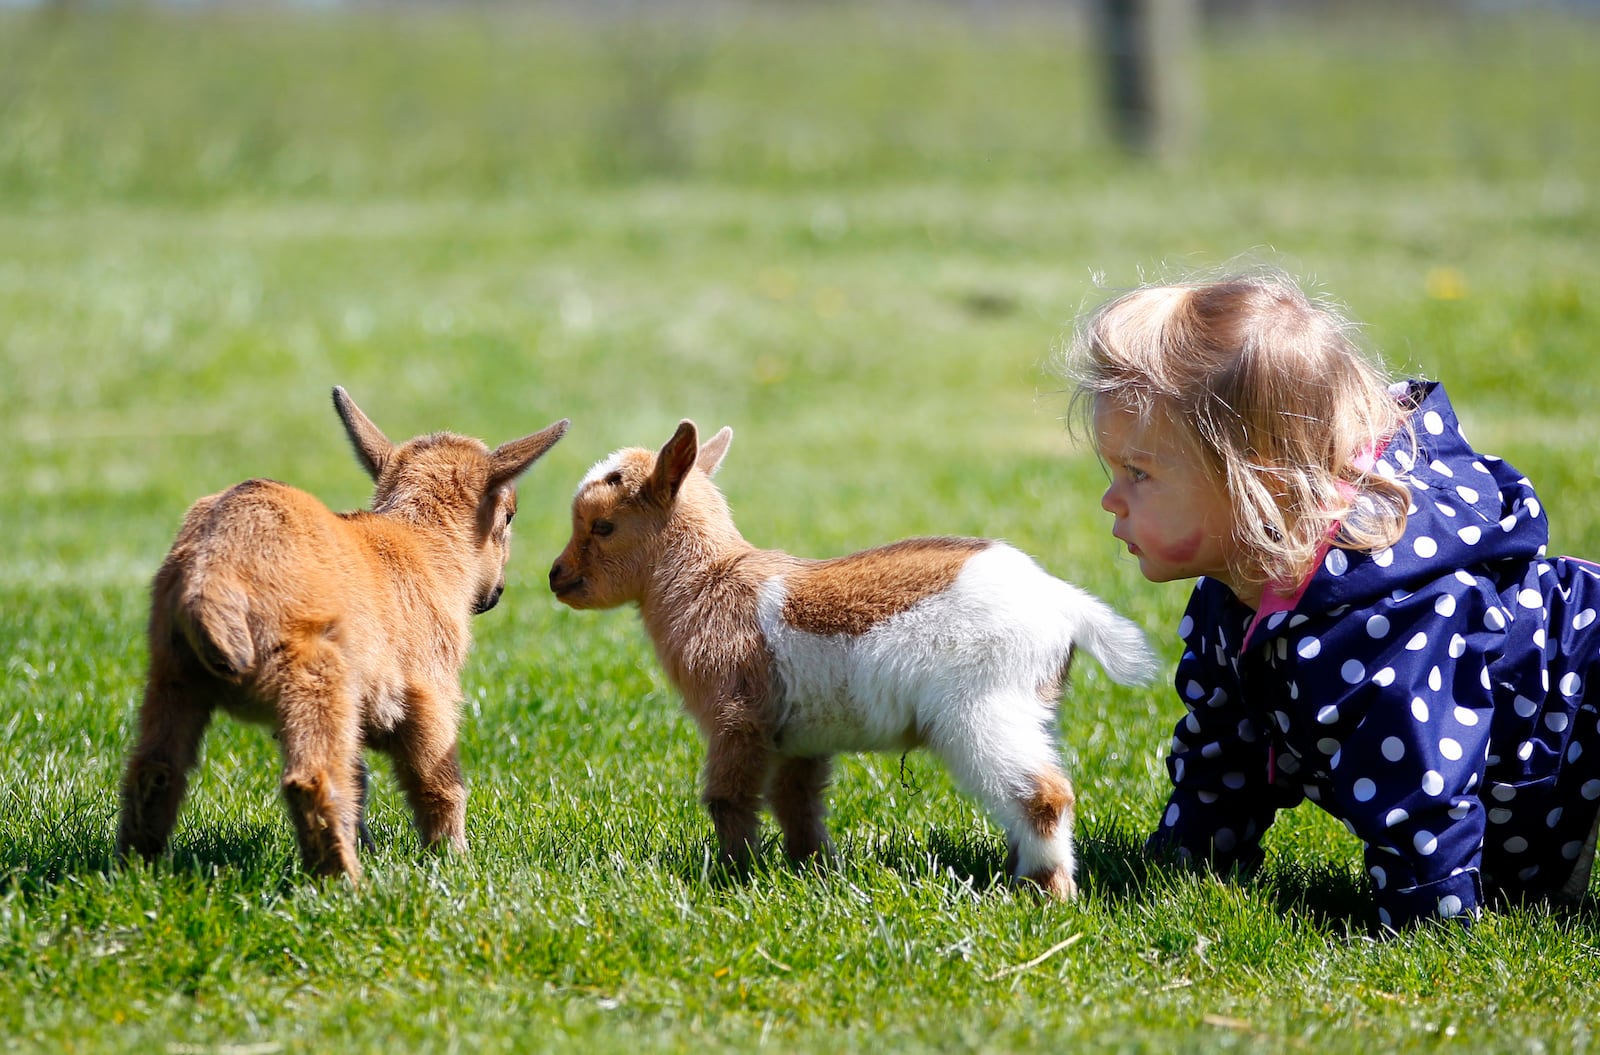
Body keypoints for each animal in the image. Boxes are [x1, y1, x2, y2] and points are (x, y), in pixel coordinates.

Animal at [116, 387, 569, 883]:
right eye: (509, 516)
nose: (495, 595)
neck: (423, 546)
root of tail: (211, 572)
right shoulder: (431, 694)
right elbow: (438, 783)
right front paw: (453, 861)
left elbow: (360, 781)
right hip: (314, 674)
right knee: (312, 779)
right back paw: (347, 884)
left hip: (173, 672)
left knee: (154, 769)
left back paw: (136, 870)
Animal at [547, 419, 1152, 902]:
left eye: (603, 526)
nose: (556, 577)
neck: (710, 582)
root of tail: (1063, 603)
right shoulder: (798, 736)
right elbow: (797, 803)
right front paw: (812, 872)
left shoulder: (737, 715)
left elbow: (729, 797)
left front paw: (733, 875)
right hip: (1029, 705)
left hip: (982, 707)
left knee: (1044, 793)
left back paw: (1048, 893)